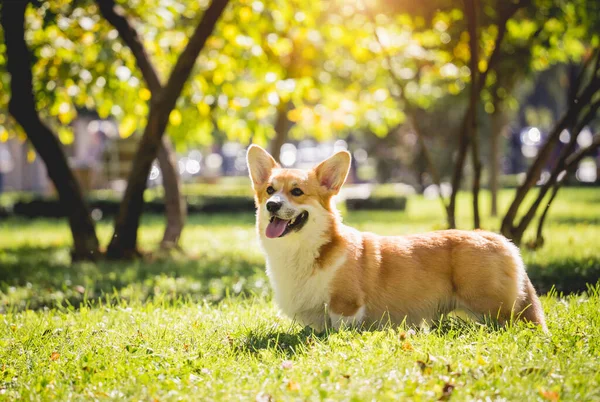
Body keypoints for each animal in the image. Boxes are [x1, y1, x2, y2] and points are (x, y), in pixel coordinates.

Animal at [246, 146, 548, 332]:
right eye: (270, 190)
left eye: (297, 191)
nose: (272, 205)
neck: (304, 251)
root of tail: (501, 240)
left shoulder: (346, 306)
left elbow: (341, 327)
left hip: (491, 307)